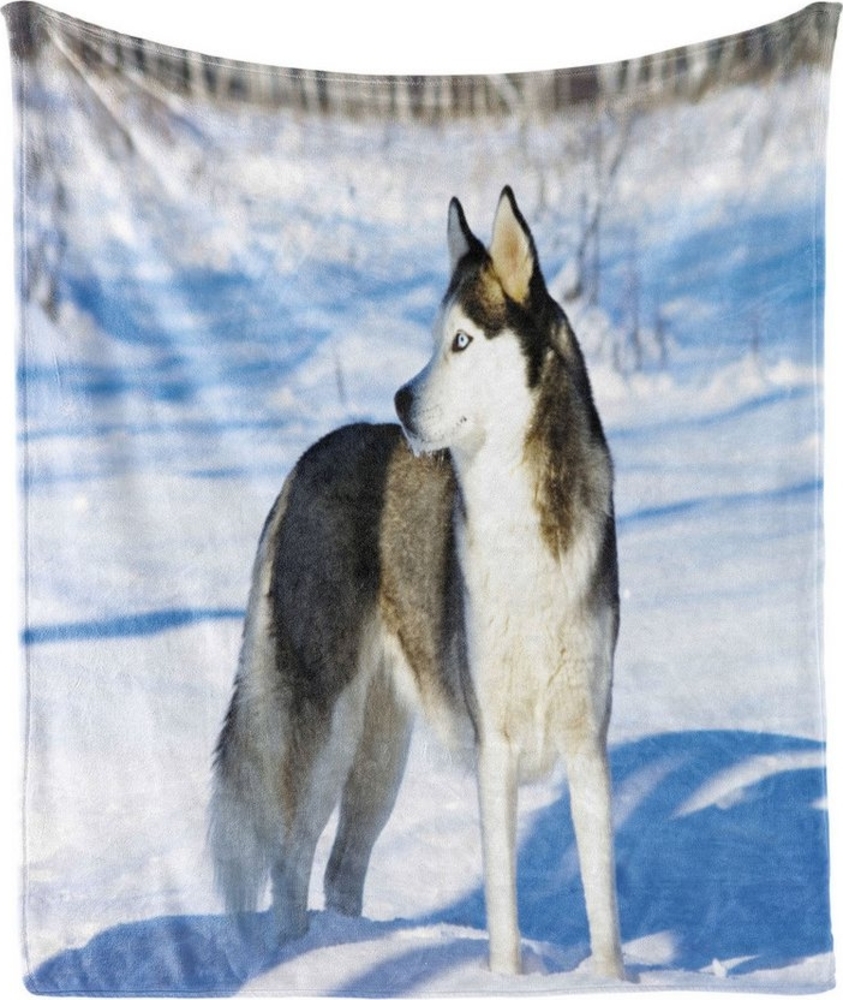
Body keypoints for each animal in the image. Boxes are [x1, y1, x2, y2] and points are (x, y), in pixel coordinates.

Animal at [208, 186, 624, 976]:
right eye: (435, 339)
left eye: (461, 341)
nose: (400, 400)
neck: (522, 531)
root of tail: (307, 460)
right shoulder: (494, 748)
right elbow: (503, 919)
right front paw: (504, 983)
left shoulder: (588, 743)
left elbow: (604, 914)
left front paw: (610, 981)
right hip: (326, 730)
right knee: (290, 862)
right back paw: (299, 960)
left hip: (381, 753)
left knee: (341, 868)